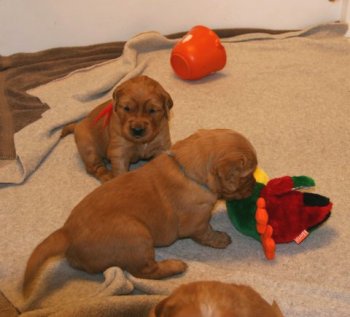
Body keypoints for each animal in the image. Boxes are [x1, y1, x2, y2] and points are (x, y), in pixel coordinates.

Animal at [22, 127, 258, 296]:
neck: (187, 169)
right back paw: (175, 266)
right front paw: (220, 238)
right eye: (248, 175)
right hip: (137, 235)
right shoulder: (197, 220)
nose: (255, 186)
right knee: (145, 271)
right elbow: (206, 233)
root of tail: (66, 233)